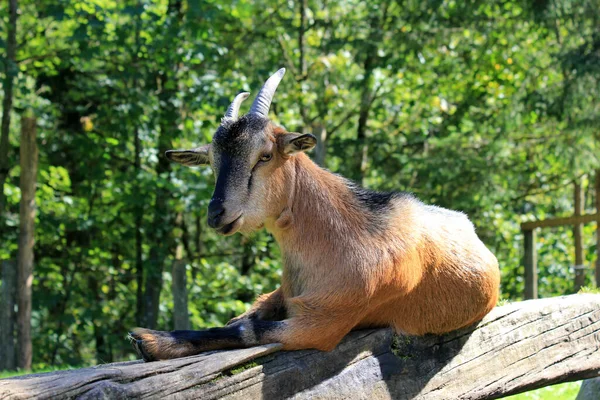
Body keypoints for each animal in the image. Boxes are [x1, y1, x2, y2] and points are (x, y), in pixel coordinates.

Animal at [131, 67, 502, 360]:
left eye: (265, 155)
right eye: (211, 161)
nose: (217, 213)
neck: (342, 238)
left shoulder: (322, 323)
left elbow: (247, 331)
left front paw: (149, 339)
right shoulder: (287, 296)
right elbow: (243, 319)